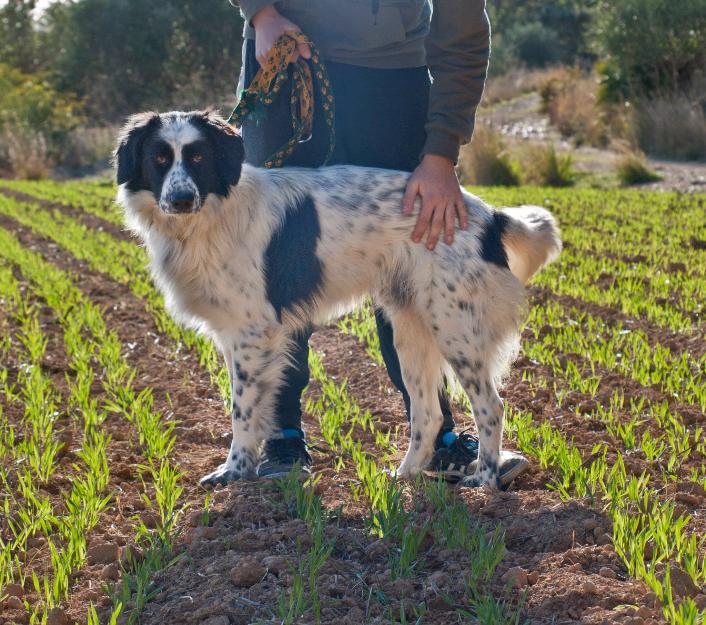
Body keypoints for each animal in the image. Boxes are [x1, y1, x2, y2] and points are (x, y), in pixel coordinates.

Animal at [113, 111, 560, 488]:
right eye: (159, 158)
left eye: (198, 157)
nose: (181, 199)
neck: (212, 214)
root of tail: (489, 215)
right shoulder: (240, 334)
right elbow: (256, 407)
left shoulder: (252, 332)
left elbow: (241, 411)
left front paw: (234, 471)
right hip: (410, 330)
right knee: (429, 413)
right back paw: (405, 474)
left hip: (454, 330)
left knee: (490, 407)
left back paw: (485, 478)